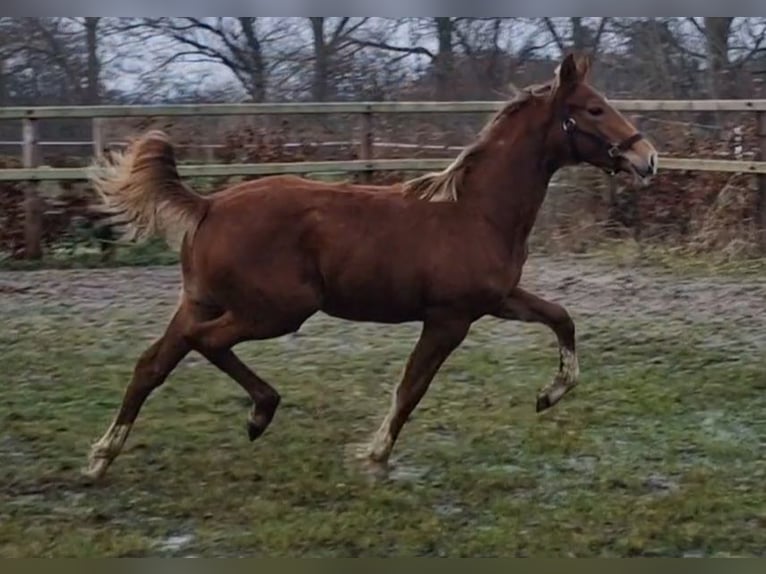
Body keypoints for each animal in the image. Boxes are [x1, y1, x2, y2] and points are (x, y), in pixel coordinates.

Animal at [83, 53, 658, 481]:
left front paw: (549, 395)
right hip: (278, 310)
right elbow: (411, 388)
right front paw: (374, 454)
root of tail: (208, 205)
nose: (647, 158)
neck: (475, 210)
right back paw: (260, 412)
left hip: (202, 301)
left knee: (154, 363)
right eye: (594, 109)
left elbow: (562, 317)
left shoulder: (497, 301)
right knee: (205, 344)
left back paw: (102, 456)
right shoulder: (449, 318)